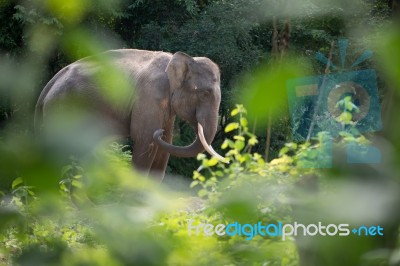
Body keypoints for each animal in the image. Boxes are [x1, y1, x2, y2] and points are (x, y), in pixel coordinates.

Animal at [34, 48, 227, 181]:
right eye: (205, 93)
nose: (159, 132)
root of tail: (48, 86)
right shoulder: (149, 97)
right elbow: (145, 139)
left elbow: (165, 145)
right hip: (62, 110)